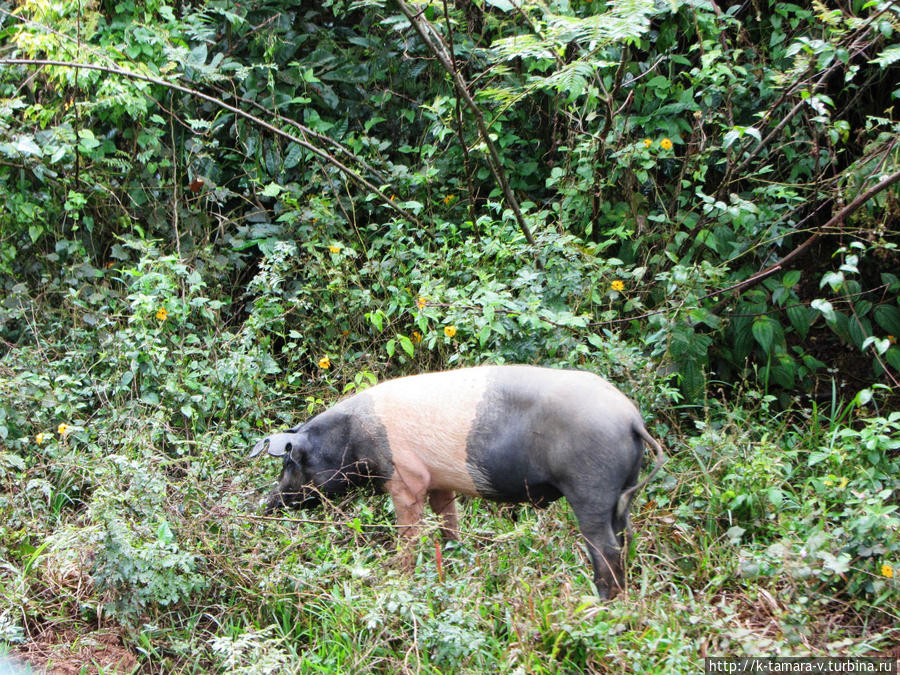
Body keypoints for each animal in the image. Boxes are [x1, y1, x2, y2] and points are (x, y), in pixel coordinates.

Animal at [250, 368, 664, 600]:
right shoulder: (439, 481)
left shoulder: (406, 480)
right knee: (624, 536)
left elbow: (409, 535)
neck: (352, 440)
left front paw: (399, 576)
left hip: (590, 487)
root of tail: (631, 419)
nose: (266, 504)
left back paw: (599, 603)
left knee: (605, 546)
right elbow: (448, 520)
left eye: (288, 462)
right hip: (622, 491)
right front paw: (452, 558)